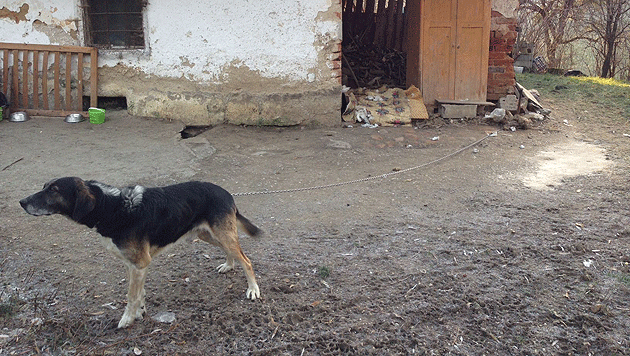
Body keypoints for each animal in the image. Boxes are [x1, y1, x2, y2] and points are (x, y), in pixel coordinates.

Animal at [19, 177, 262, 328]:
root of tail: (226, 192)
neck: (112, 207)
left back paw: (253, 289)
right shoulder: (133, 264)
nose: (21, 202)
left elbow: (131, 296)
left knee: (247, 260)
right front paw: (140, 311)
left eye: (54, 190)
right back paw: (229, 265)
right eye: (44, 186)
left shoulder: (139, 263)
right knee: (234, 253)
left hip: (222, 234)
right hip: (208, 234)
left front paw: (128, 319)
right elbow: (140, 293)